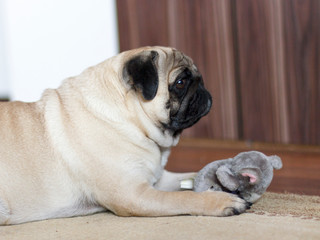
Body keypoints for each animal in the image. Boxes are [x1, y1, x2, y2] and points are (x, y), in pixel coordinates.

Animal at [0, 46, 250, 225]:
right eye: (180, 83)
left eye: (199, 77)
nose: (203, 89)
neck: (131, 121)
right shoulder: (134, 195)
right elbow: (184, 197)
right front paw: (221, 201)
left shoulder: (158, 178)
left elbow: (192, 174)